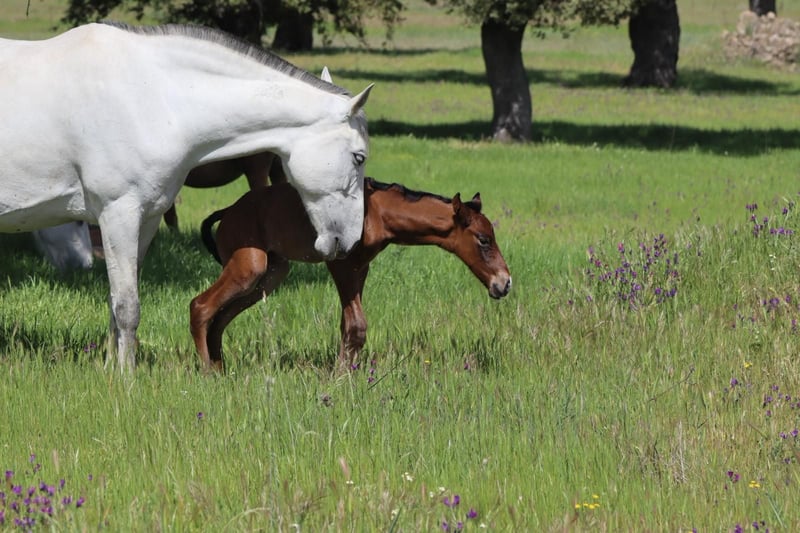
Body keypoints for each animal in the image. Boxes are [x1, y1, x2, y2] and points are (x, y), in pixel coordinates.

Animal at [0, 23, 373, 371]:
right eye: (359, 157)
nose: (351, 241)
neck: (155, 95)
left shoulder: (145, 219)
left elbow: (116, 300)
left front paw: (110, 369)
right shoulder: (118, 214)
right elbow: (127, 306)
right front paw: (126, 380)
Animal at [190, 178, 512, 372]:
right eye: (483, 239)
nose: (505, 283)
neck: (376, 211)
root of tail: (228, 211)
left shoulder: (360, 268)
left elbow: (348, 327)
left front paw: (347, 372)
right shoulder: (341, 265)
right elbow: (357, 325)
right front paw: (340, 377)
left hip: (270, 276)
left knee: (219, 319)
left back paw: (220, 370)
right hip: (249, 267)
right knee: (201, 306)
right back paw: (208, 373)